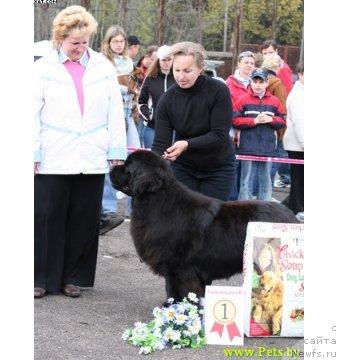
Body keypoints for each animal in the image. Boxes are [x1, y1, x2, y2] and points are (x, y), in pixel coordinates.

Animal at [111, 150, 298, 302]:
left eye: (127, 167)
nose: (112, 167)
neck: (156, 200)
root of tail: (292, 217)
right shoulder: (173, 269)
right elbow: (171, 290)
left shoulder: (182, 269)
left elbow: (182, 293)